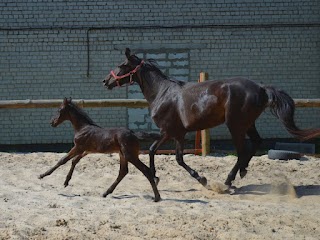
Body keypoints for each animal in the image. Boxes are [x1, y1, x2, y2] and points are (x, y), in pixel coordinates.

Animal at [102, 47, 320, 188]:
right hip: (248, 123)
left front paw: (201, 179)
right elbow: (160, 152)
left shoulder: (171, 131)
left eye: (122, 64)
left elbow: (170, 156)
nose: (106, 81)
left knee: (242, 150)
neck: (162, 93)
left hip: (235, 125)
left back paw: (229, 181)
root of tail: (261, 88)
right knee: (256, 142)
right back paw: (242, 171)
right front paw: (156, 177)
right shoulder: (174, 133)